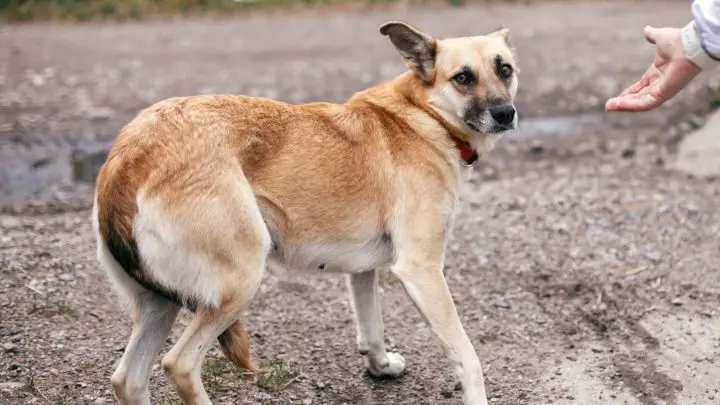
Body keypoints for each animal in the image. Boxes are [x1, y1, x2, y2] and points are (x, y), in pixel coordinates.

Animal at [93, 19, 520, 404]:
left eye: (505, 69)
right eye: (463, 77)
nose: (506, 113)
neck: (423, 116)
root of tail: (129, 156)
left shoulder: (363, 270)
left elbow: (372, 327)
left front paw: (380, 367)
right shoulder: (421, 269)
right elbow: (468, 357)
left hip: (161, 303)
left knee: (127, 379)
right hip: (240, 282)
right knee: (179, 365)